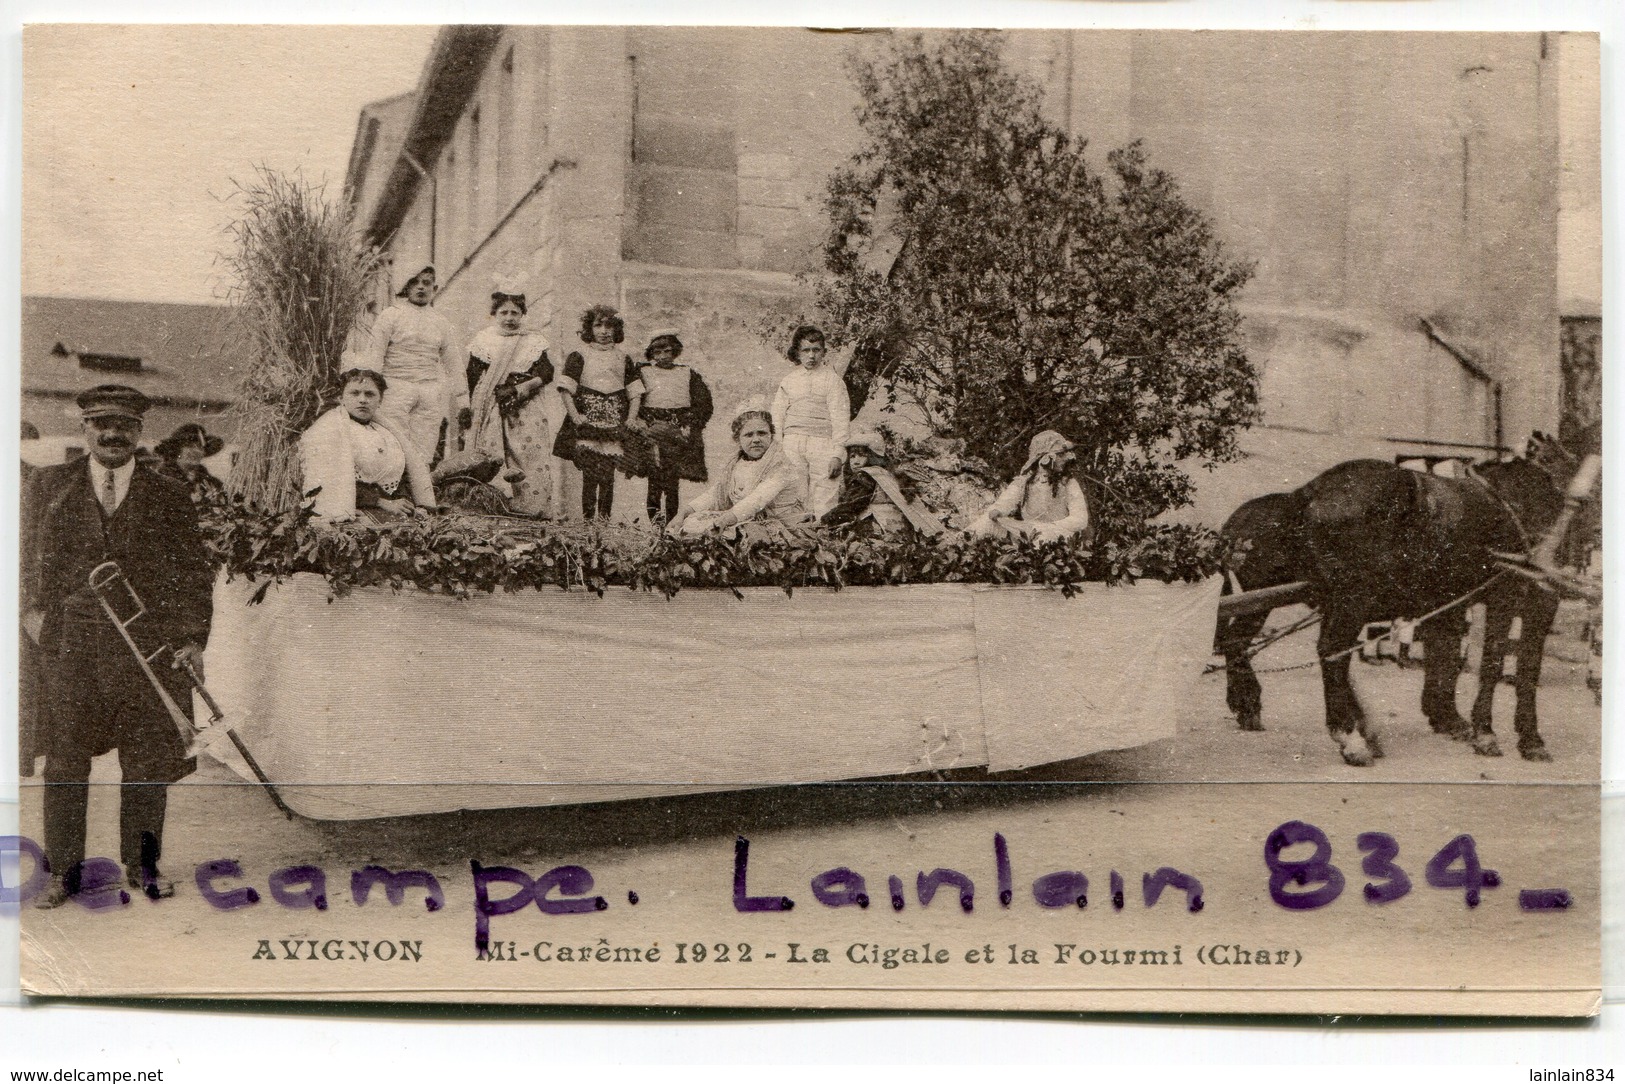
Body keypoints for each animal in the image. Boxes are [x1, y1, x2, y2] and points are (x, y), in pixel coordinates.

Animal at [1222, 435, 1573, 767]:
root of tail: (1308, 493)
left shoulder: (1449, 601)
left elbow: (1446, 656)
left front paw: (1452, 720)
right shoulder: (1518, 597)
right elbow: (1503, 665)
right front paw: (1502, 736)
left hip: (1280, 601)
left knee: (1235, 641)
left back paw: (1250, 705)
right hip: (1350, 600)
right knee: (1331, 651)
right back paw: (1350, 738)